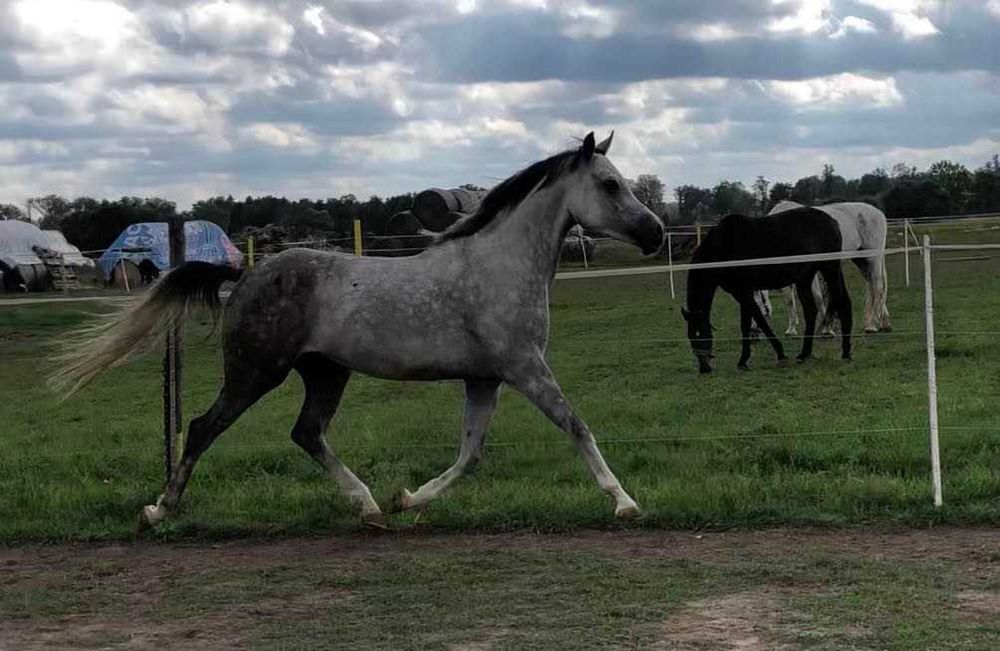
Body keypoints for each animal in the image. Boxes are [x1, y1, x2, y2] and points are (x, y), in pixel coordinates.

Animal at [52, 132, 664, 528]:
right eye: (610, 185)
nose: (656, 233)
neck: (500, 266)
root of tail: (247, 273)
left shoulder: (485, 378)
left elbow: (470, 453)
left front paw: (408, 500)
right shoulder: (525, 368)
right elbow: (576, 427)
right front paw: (624, 503)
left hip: (325, 373)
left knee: (306, 433)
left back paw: (368, 505)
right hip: (257, 372)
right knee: (204, 428)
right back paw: (160, 509)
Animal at [684, 209, 856, 372]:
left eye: (699, 333)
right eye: (690, 336)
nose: (704, 368)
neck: (723, 247)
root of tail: (833, 222)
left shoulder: (743, 291)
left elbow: (758, 320)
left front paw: (779, 355)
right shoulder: (741, 293)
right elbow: (748, 323)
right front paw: (744, 360)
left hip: (829, 269)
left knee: (843, 303)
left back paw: (845, 353)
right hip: (805, 279)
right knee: (811, 311)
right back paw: (804, 354)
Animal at [752, 201, 888, 336]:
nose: (753, 331)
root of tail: (878, 213)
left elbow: (817, 297)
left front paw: (827, 327)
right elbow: (790, 300)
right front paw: (792, 329)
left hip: (873, 259)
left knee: (878, 287)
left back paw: (877, 325)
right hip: (861, 261)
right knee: (872, 288)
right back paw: (875, 324)